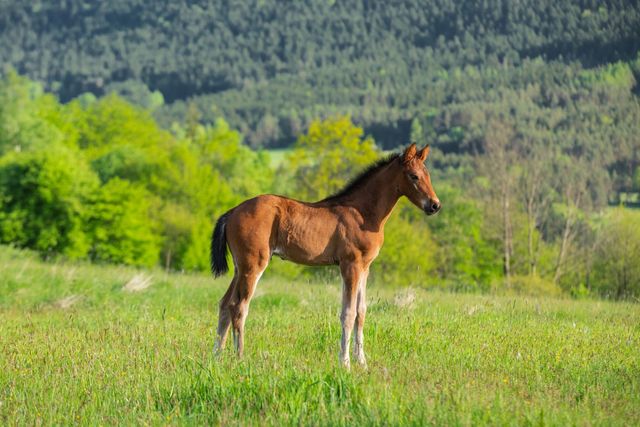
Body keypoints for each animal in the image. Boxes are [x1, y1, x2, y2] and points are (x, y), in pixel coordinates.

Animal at [210, 143, 440, 368]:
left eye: (428, 175)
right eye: (414, 176)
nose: (435, 205)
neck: (363, 213)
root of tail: (232, 212)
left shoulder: (365, 268)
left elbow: (361, 311)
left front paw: (362, 363)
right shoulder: (350, 265)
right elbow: (348, 314)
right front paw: (345, 363)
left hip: (239, 268)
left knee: (225, 304)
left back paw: (217, 356)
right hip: (253, 265)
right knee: (239, 306)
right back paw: (240, 358)